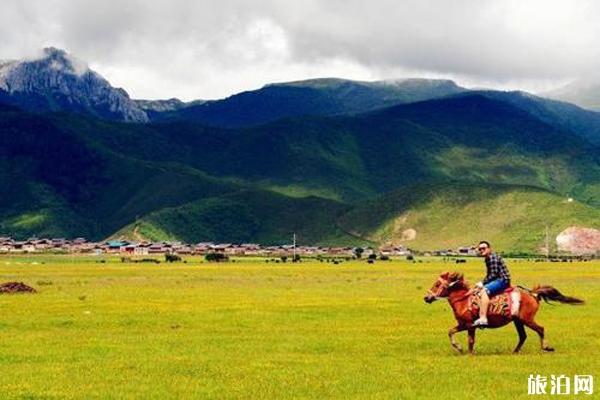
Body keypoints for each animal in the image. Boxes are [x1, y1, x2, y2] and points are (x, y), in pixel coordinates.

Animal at [424, 272, 584, 354]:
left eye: (437, 284)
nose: (426, 298)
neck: (464, 300)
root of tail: (533, 294)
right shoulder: (463, 324)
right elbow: (450, 331)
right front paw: (459, 347)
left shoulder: (470, 325)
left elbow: (470, 340)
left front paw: (469, 353)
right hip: (518, 321)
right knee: (523, 336)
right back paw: (515, 352)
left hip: (527, 320)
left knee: (540, 329)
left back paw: (546, 347)